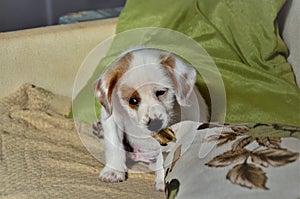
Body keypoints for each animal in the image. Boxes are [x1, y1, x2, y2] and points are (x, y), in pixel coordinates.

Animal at [94, 47, 209, 191]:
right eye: (133, 100)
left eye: (160, 92)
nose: (154, 124)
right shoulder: (112, 118)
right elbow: (114, 145)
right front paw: (113, 171)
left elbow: (164, 157)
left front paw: (162, 180)